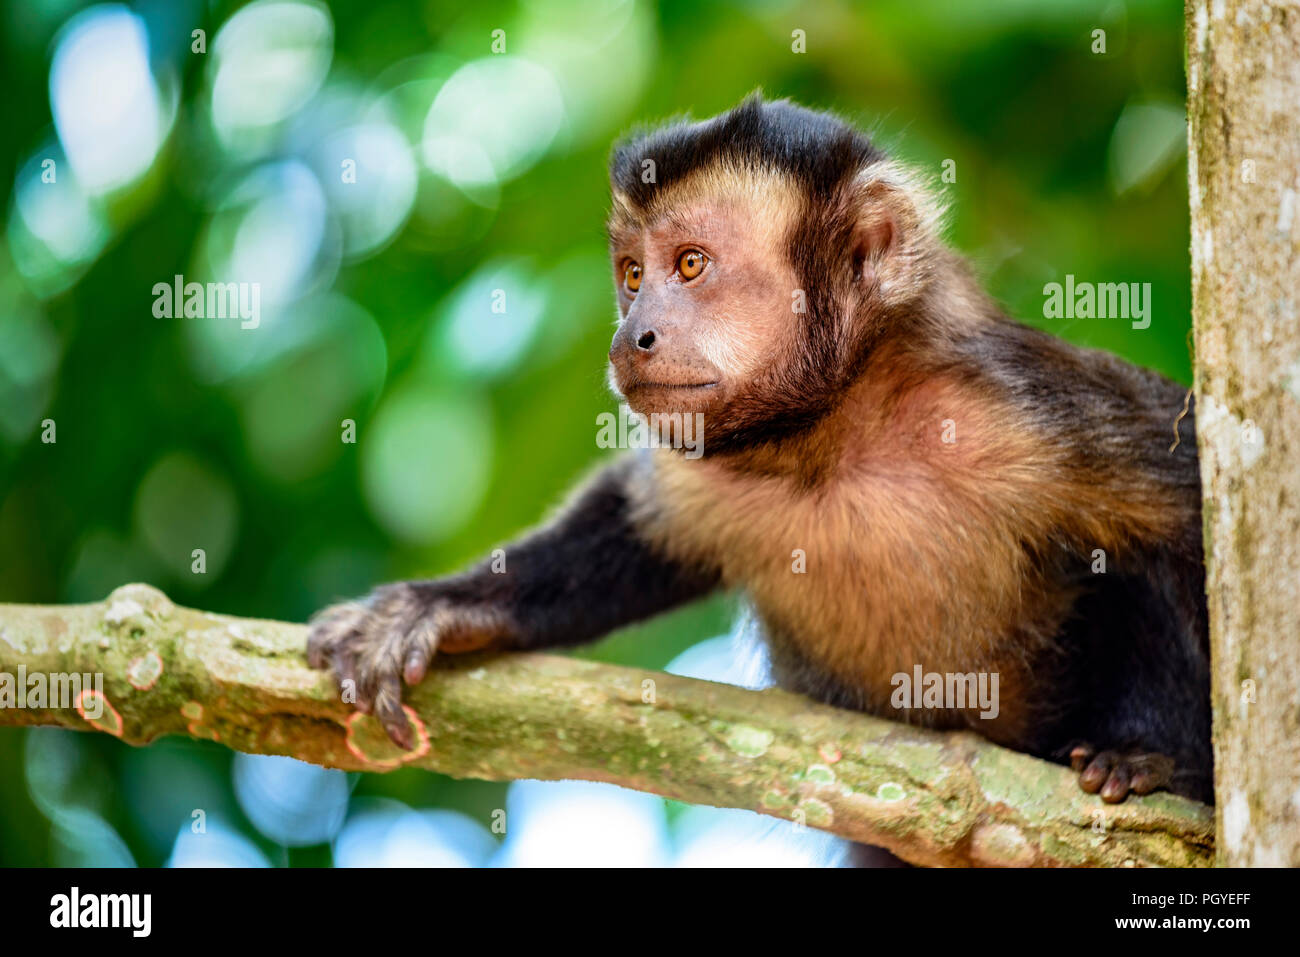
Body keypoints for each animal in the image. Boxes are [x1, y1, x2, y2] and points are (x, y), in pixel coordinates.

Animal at [304, 95, 1206, 816]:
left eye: (689, 264)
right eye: (631, 274)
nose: (630, 336)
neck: (832, 434)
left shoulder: (1018, 409)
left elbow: (1189, 504)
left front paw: (1161, 754)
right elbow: (638, 527)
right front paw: (446, 604)